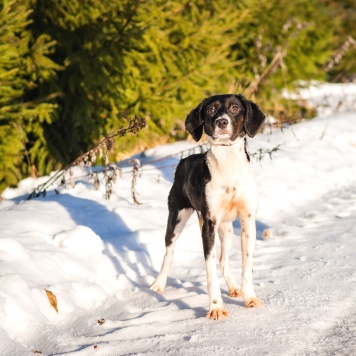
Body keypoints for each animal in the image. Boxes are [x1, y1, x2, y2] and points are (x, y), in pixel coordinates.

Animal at [149, 94, 264, 320]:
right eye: (210, 110)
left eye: (235, 108)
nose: (222, 122)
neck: (228, 166)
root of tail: (183, 161)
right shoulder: (209, 224)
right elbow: (210, 270)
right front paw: (216, 308)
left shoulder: (247, 220)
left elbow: (247, 266)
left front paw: (250, 298)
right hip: (176, 217)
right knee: (169, 253)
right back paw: (158, 285)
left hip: (226, 229)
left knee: (223, 260)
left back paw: (234, 287)